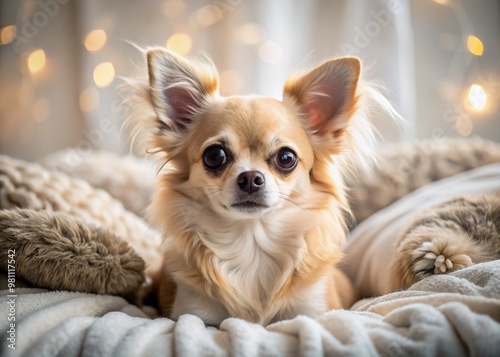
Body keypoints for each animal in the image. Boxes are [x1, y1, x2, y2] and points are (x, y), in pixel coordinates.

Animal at [126, 48, 398, 326]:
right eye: (214, 155)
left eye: (286, 157)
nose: (250, 177)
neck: (252, 242)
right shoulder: (193, 313)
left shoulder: (313, 310)